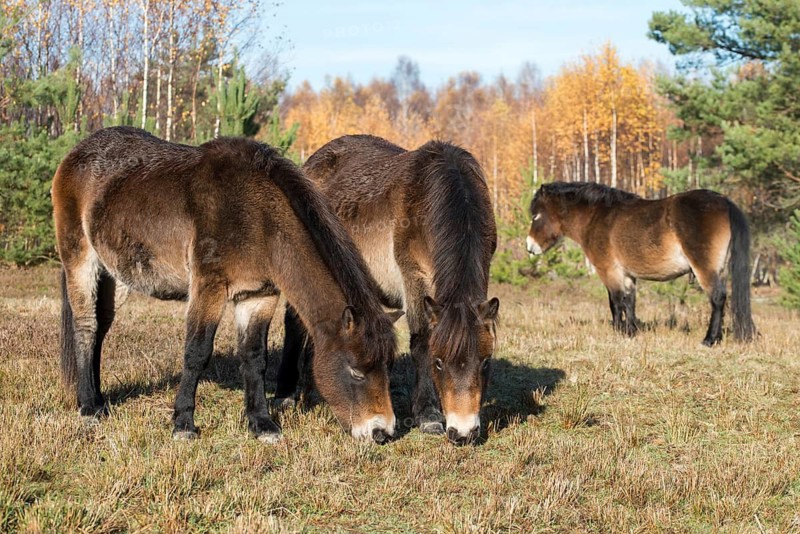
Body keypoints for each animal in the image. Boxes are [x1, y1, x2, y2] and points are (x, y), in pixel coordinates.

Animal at [53, 126, 403, 444]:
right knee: (85, 327)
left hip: (114, 276)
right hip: (80, 261)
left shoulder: (259, 295)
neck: (257, 216)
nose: (381, 433)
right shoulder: (209, 288)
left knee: (101, 329)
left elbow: (254, 357)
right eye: (356, 371)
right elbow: (197, 352)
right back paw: (89, 408)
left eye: (387, 368)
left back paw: (98, 400)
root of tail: (75, 154)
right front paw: (183, 424)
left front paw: (262, 424)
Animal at [275, 135, 499, 445]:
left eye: (486, 362)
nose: (463, 433)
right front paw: (428, 415)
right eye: (439, 363)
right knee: (295, 325)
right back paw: (286, 394)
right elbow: (421, 342)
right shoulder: (413, 278)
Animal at [526, 182, 756, 346]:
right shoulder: (627, 274)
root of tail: (724, 202)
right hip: (721, 270)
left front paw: (619, 331)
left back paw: (709, 340)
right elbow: (630, 302)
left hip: (705, 269)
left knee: (717, 298)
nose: (529, 246)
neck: (597, 216)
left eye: (536, 215)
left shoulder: (609, 270)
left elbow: (615, 302)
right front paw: (631, 331)